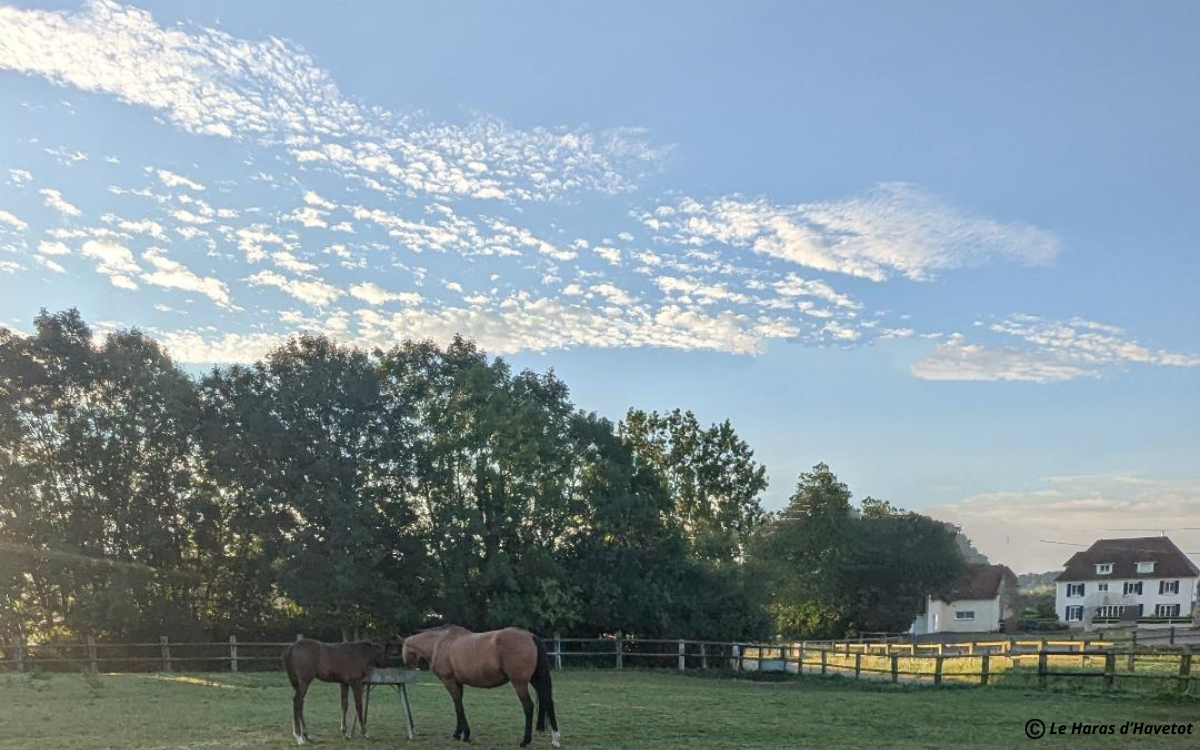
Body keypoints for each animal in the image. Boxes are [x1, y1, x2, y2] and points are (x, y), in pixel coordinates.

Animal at [398, 624, 556, 744]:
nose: (411, 667)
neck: (440, 642)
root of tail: (530, 636)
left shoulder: (449, 682)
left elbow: (459, 708)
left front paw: (465, 734)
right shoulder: (458, 683)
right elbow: (458, 707)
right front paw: (458, 733)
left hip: (520, 683)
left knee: (528, 707)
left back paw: (525, 740)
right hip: (535, 680)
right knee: (548, 702)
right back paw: (555, 739)